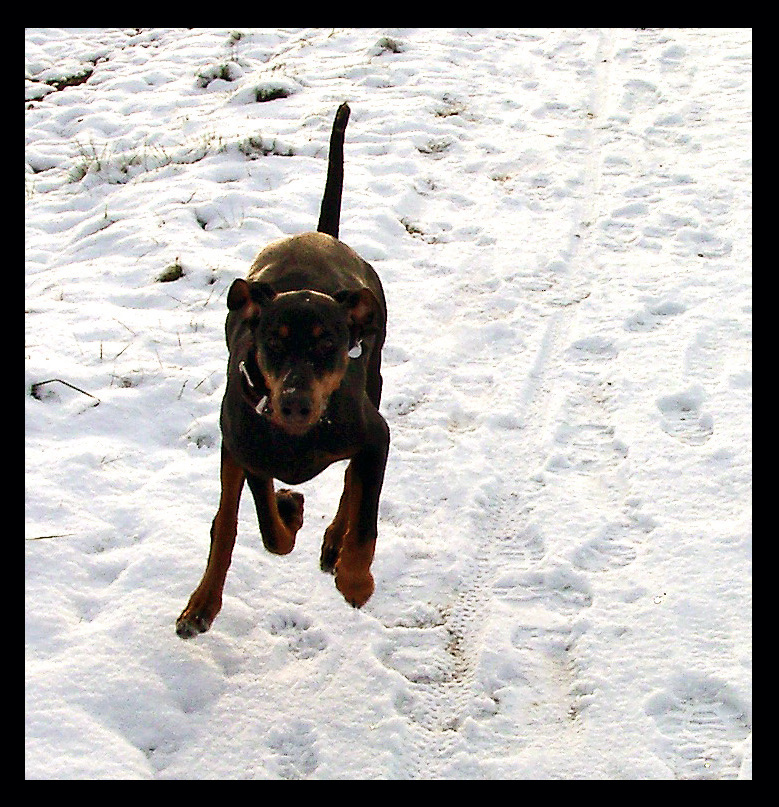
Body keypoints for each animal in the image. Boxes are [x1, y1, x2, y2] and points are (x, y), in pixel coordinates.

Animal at [180, 104, 394, 640]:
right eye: (273, 345)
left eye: (327, 346)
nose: (295, 403)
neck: (299, 439)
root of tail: (323, 236)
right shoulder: (247, 446)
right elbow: (266, 527)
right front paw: (290, 511)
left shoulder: (374, 435)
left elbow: (366, 512)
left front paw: (355, 578)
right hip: (233, 444)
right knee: (225, 522)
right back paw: (202, 603)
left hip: (374, 382)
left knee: (353, 481)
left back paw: (335, 543)